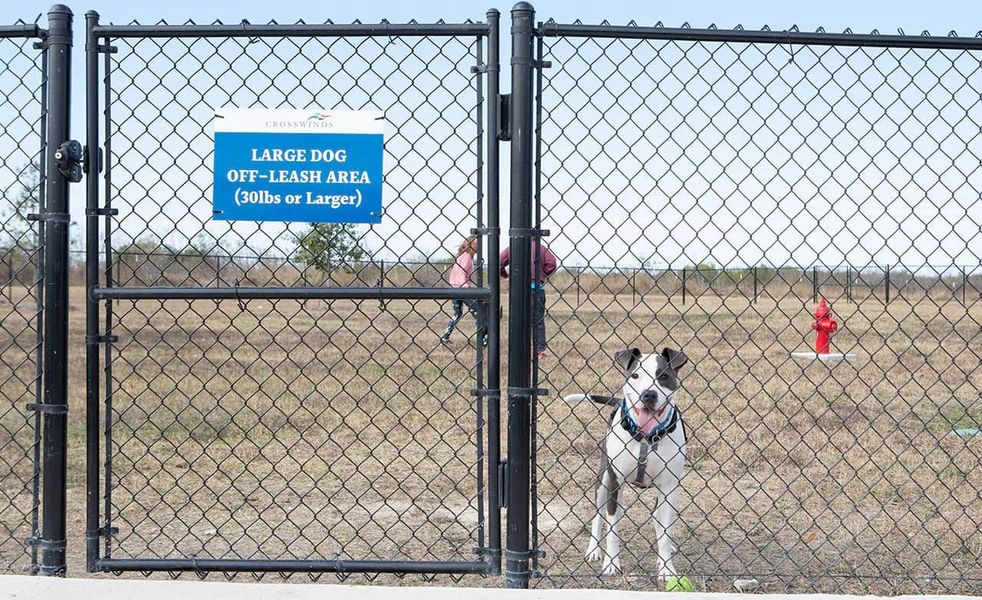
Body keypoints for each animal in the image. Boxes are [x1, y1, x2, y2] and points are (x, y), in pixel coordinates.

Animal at [564, 346, 688, 576]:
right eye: (635, 375)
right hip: (603, 481)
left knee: (658, 517)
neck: (646, 438)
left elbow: (665, 531)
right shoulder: (614, 482)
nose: (648, 394)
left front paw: (666, 567)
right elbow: (613, 531)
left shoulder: (669, 487)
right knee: (599, 516)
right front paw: (611, 564)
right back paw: (593, 550)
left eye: (663, 376)